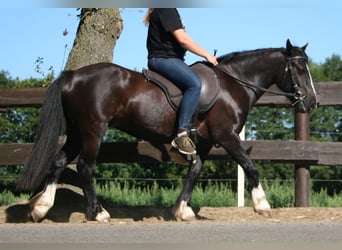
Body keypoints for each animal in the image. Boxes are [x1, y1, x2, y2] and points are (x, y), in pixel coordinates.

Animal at [16, 39, 316, 223]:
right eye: (299, 68)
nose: (312, 102)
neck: (232, 85)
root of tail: (74, 76)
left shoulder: (205, 142)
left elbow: (194, 173)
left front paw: (182, 210)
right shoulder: (227, 137)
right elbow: (250, 166)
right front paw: (262, 205)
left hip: (77, 133)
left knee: (58, 163)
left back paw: (40, 208)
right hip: (92, 131)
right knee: (85, 168)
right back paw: (98, 213)